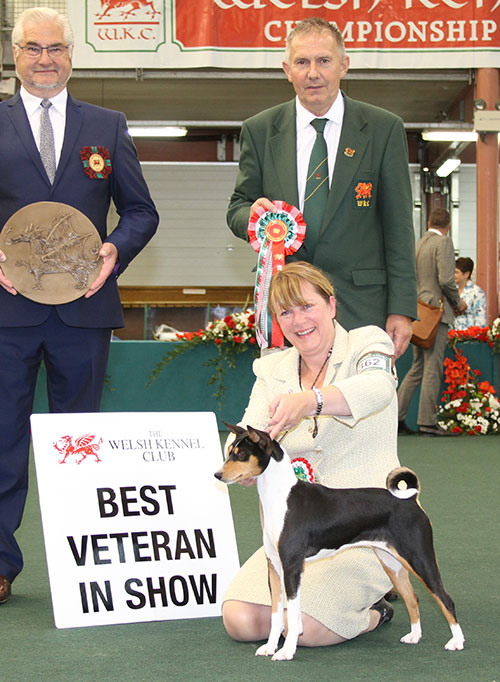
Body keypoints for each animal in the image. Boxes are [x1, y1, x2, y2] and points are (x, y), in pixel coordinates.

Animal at [215, 422, 464, 656]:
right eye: (229, 451)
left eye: (241, 454)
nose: (217, 475)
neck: (281, 497)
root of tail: (411, 500)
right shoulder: (274, 568)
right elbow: (276, 616)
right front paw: (269, 647)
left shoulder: (292, 567)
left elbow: (292, 617)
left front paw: (286, 651)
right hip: (392, 563)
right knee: (412, 598)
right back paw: (414, 636)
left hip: (420, 558)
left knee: (445, 599)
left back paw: (457, 641)